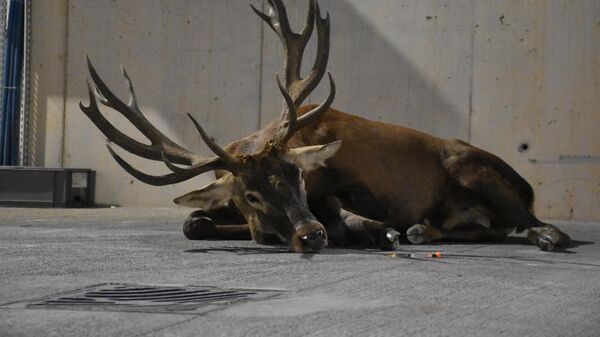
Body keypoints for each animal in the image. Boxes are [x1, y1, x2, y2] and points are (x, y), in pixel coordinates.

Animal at [81, 0, 572, 252]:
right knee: (488, 227)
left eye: (299, 176)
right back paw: (423, 230)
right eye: (249, 194)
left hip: (472, 169)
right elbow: (192, 223)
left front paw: (373, 228)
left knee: (542, 225)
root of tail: (527, 184)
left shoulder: (356, 189)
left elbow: (350, 212)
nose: (309, 234)